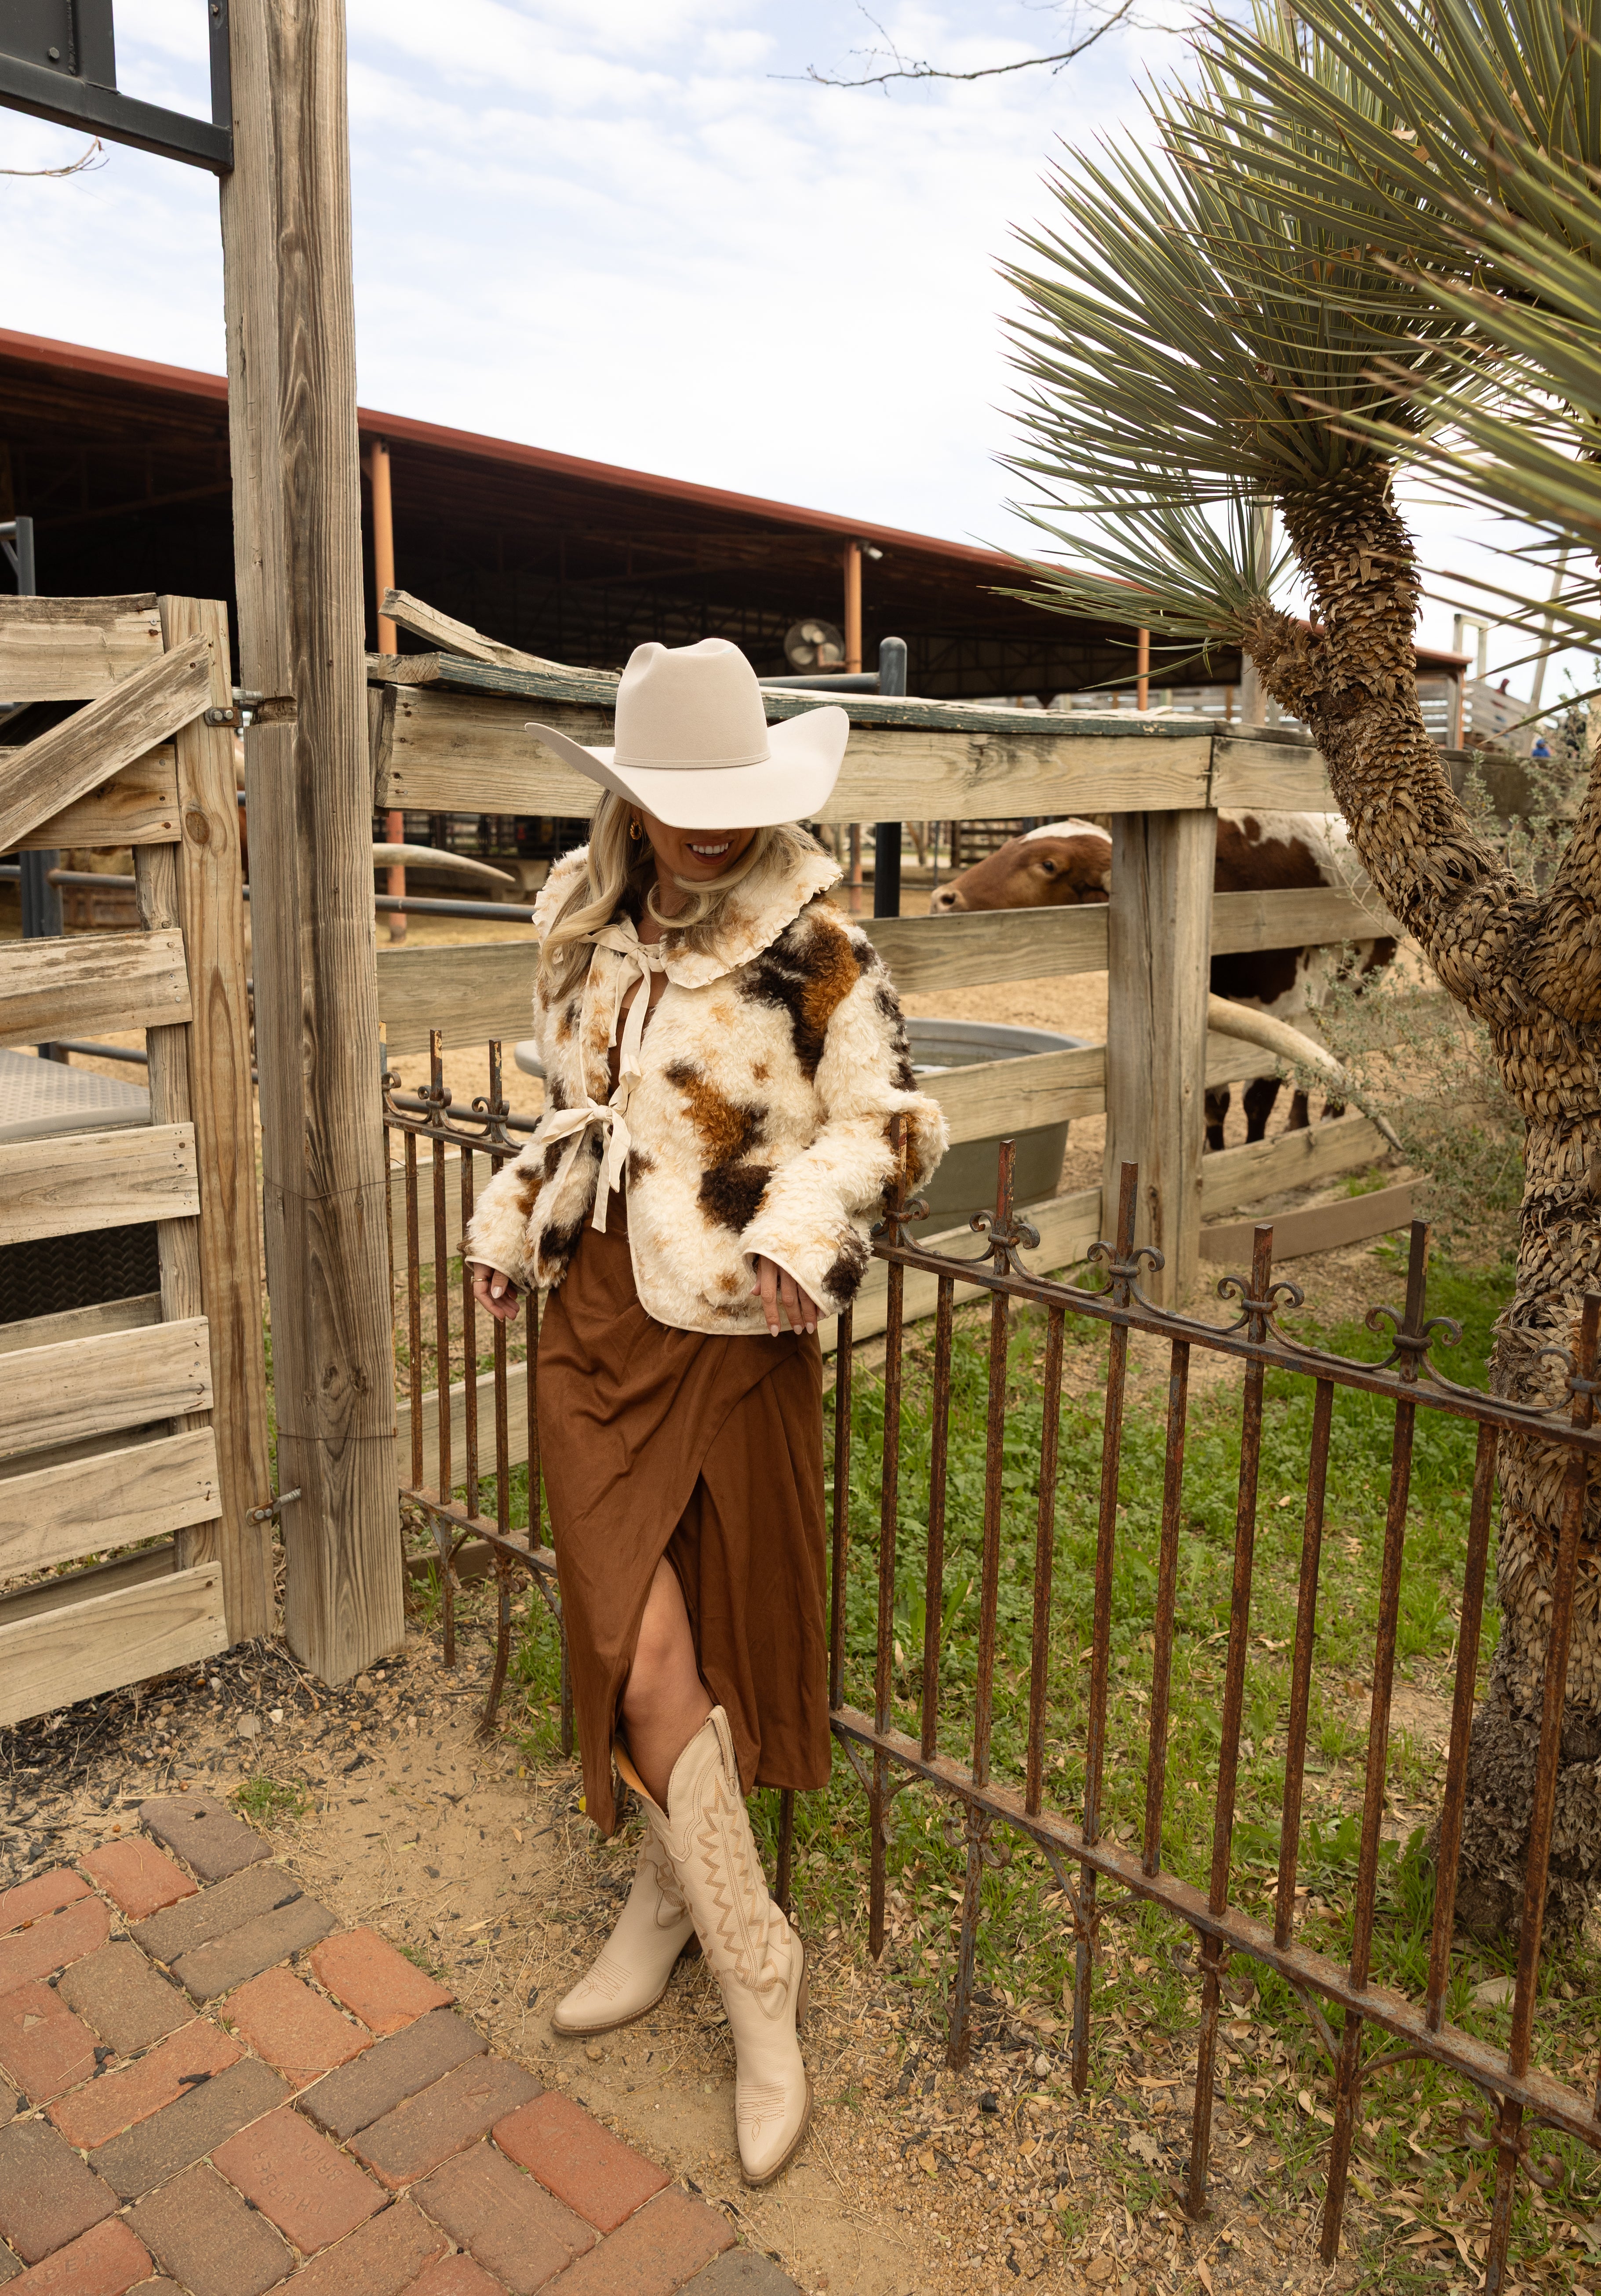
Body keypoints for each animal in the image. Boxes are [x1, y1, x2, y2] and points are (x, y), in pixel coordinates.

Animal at [928, 813, 1396, 1148]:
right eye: (1011, 843)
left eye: (1049, 864)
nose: (943, 898)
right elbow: (1214, 1104)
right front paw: (1212, 1155)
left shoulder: (1287, 1007)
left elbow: (1257, 1104)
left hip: (1357, 990)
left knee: (1337, 1050)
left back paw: (1320, 1122)